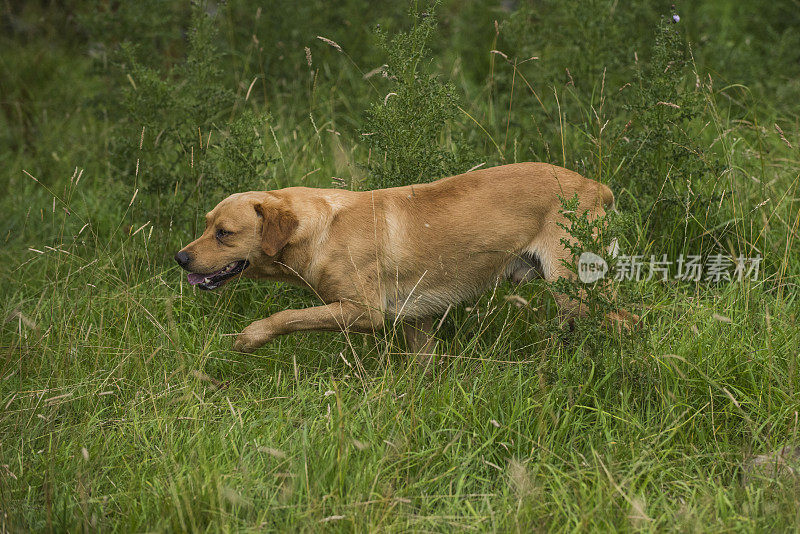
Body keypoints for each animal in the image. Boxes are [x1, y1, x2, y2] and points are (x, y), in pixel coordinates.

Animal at [177, 163, 632, 356]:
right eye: (207, 224)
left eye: (224, 233)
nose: (180, 257)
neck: (323, 229)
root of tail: (597, 187)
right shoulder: (417, 321)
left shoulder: (363, 312)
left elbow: (285, 316)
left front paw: (249, 337)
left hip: (577, 290)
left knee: (630, 323)